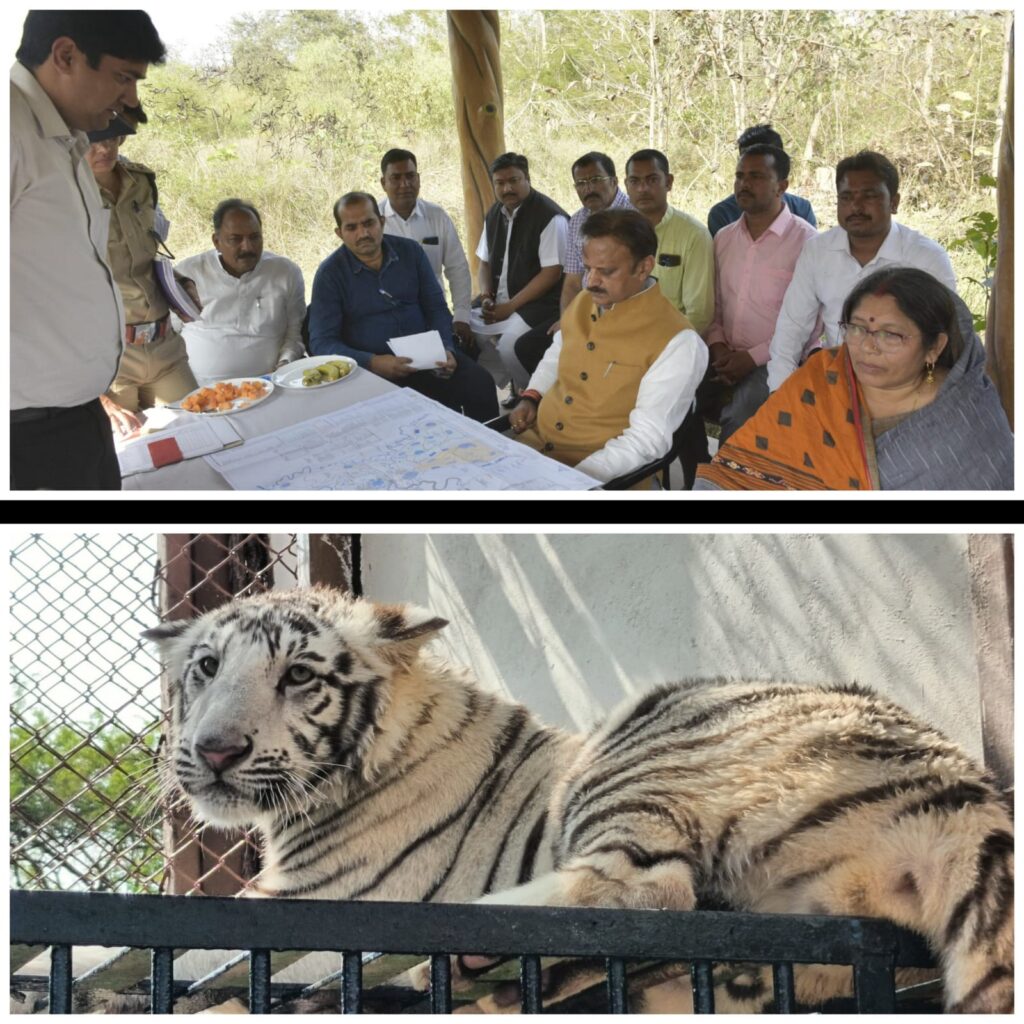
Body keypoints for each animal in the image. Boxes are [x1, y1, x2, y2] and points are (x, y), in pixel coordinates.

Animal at [140, 589, 1011, 1011]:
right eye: (207, 667)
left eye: (298, 676)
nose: (215, 751)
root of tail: (955, 779)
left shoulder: (307, 897)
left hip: (638, 741)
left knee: (646, 889)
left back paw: (465, 947)